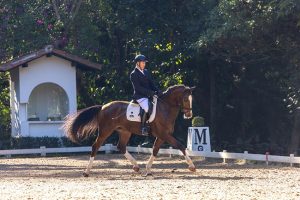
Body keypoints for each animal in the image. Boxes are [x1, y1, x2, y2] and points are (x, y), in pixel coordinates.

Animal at [62, 84, 196, 177]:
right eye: (185, 99)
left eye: (191, 99)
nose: (189, 115)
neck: (165, 108)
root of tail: (103, 107)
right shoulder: (164, 134)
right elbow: (180, 146)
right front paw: (192, 166)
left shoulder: (162, 136)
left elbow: (155, 150)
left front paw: (148, 170)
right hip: (105, 131)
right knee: (95, 146)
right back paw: (86, 172)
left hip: (125, 131)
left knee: (121, 146)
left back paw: (136, 167)